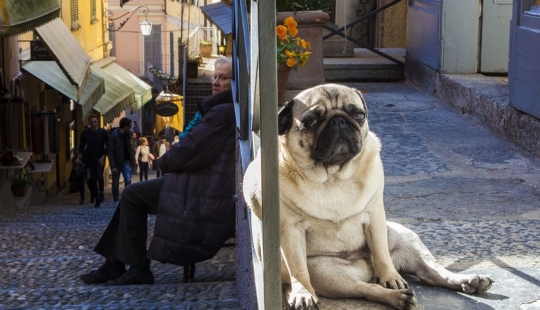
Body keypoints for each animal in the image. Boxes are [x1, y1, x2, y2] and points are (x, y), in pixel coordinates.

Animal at [245, 83, 494, 308]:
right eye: (310, 122)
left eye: (359, 115)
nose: (339, 121)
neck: (333, 177)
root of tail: (368, 269)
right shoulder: (290, 229)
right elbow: (298, 269)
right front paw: (303, 294)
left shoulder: (375, 216)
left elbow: (382, 253)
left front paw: (391, 278)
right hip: (327, 272)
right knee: (365, 288)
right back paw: (398, 298)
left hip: (406, 238)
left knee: (430, 271)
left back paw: (467, 281)